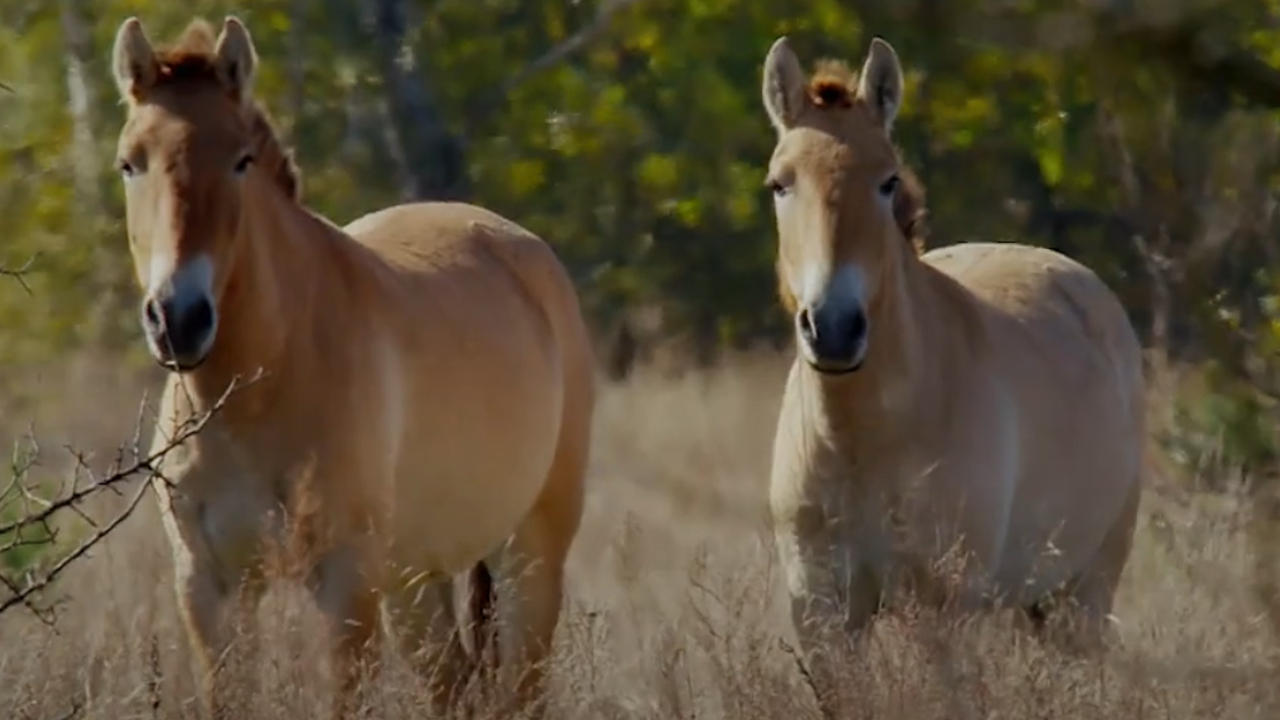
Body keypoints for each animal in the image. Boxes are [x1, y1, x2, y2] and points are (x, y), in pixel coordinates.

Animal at [110, 16, 593, 717]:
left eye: (241, 159)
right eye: (130, 163)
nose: (179, 318)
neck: (259, 392)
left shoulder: (347, 585)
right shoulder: (211, 587)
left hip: (530, 557)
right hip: (416, 578)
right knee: (455, 683)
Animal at [752, 35, 1146, 712]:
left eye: (887, 183)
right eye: (780, 184)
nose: (834, 327)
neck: (864, 438)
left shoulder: (943, 614)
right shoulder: (824, 615)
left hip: (1084, 593)